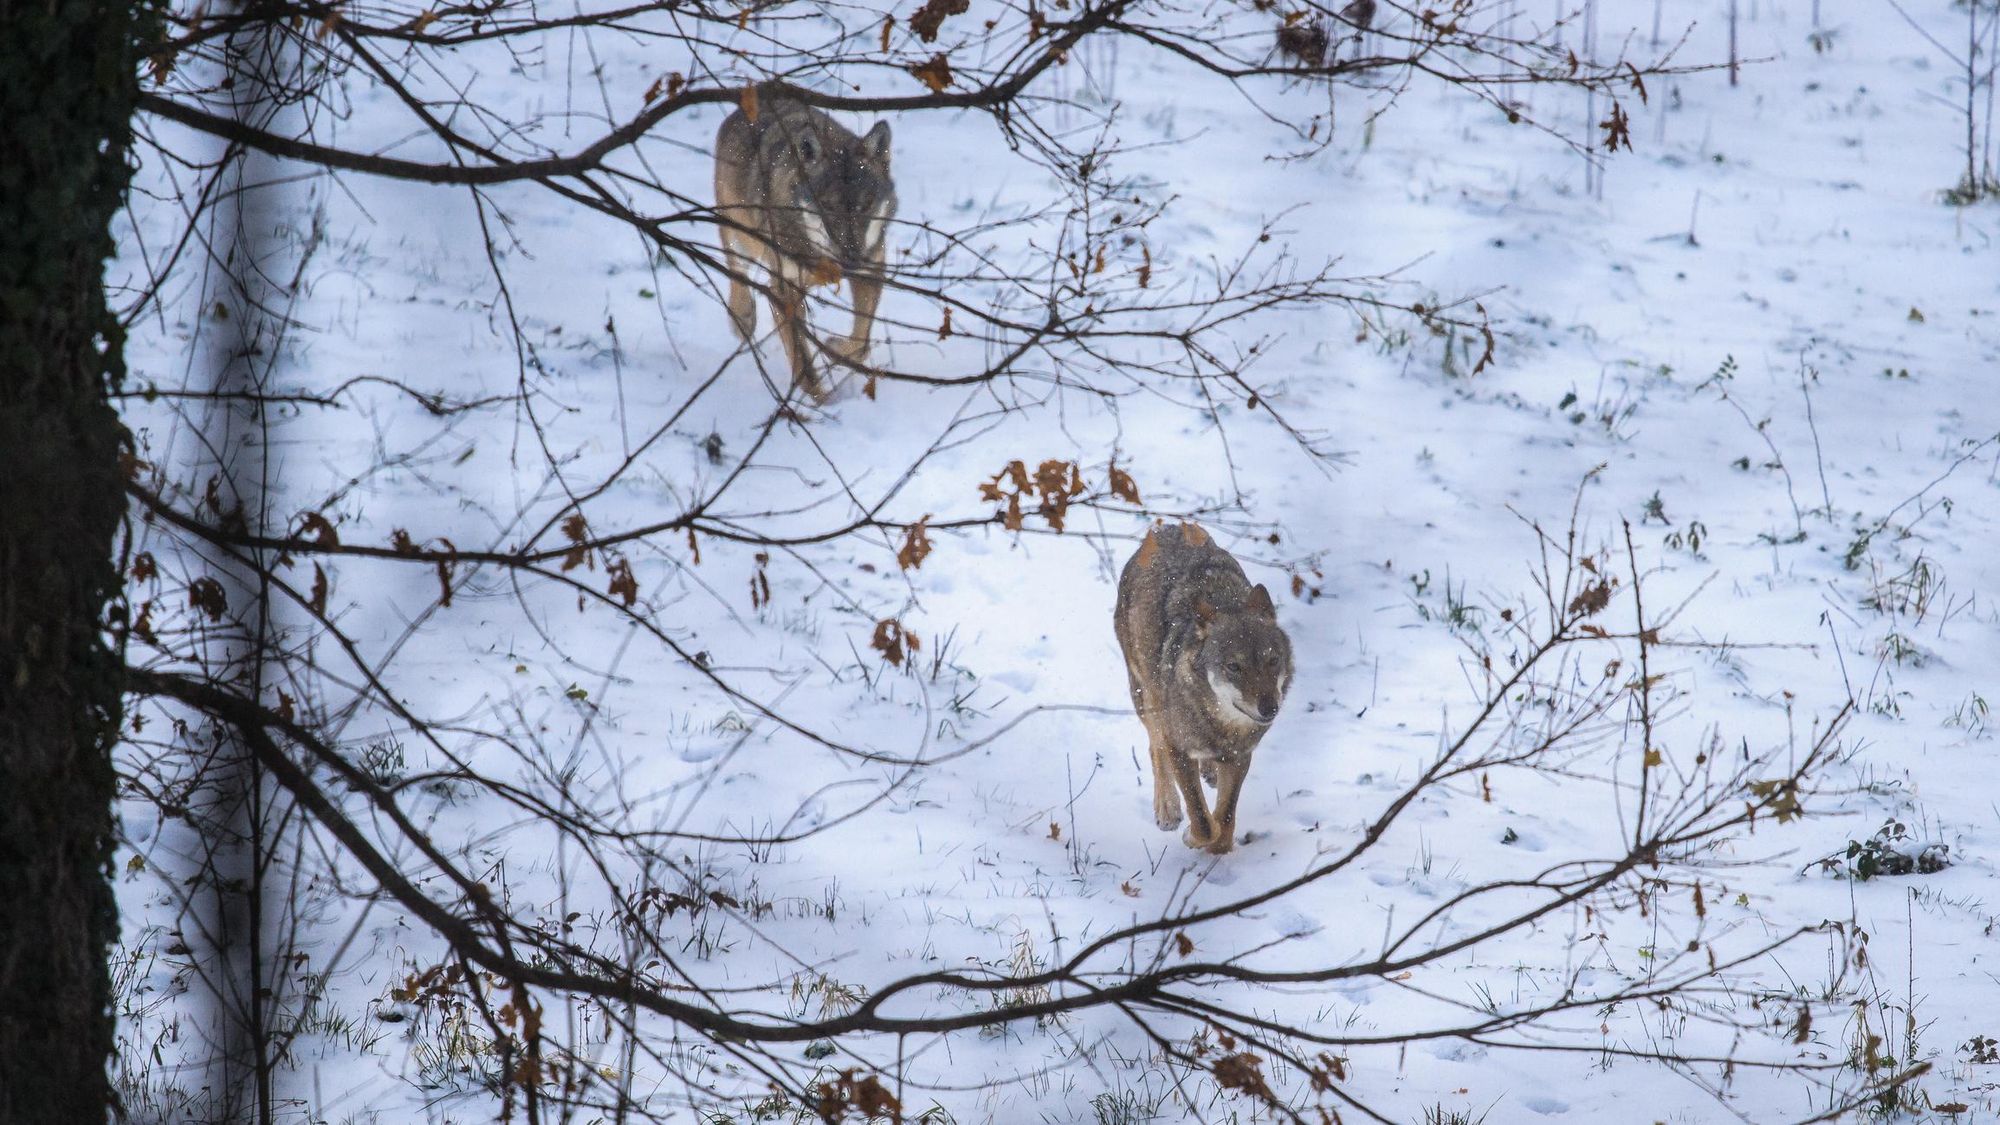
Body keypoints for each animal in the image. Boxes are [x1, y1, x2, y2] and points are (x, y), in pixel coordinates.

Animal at [716, 87, 896, 402]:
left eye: (865, 206)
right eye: (828, 207)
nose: (851, 259)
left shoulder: (872, 268)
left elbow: (861, 342)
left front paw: (836, 349)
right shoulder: (783, 291)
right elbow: (804, 365)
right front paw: (822, 406)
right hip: (738, 231)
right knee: (735, 266)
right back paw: (742, 319)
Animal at [1112, 520, 1296, 852]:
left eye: (1272, 661)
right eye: (1233, 667)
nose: (1269, 708)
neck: (1221, 725)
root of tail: (1167, 528)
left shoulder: (1240, 755)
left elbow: (1225, 818)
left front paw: (1219, 845)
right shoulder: (1178, 748)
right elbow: (1202, 818)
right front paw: (1191, 835)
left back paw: (1208, 772)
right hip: (1145, 697)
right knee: (1154, 746)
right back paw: (1168, 809)